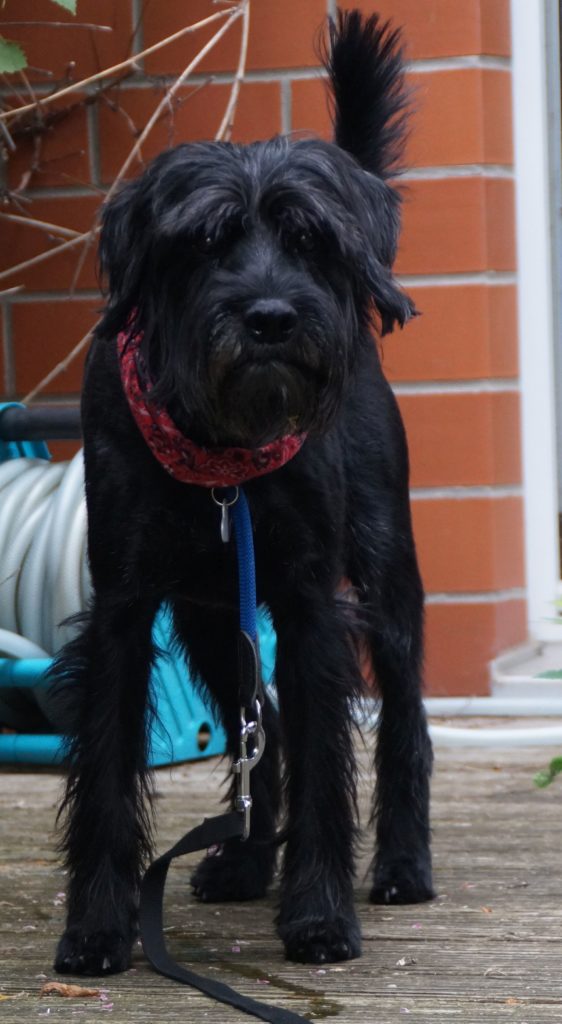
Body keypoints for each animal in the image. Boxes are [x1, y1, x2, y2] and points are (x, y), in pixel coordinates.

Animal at [52, 9, 434, 975]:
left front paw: (320, 916)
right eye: (205, 241)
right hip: (209, 621)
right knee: (261, 725)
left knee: (402, 722)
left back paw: (403, 864)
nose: (269, 316)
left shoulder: (309, 606)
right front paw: (98, 925)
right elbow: (107, 771)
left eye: (308, 239)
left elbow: (329, 759)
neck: (219, 452)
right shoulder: (123, 611)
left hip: (387, 581)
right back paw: (245, 860)